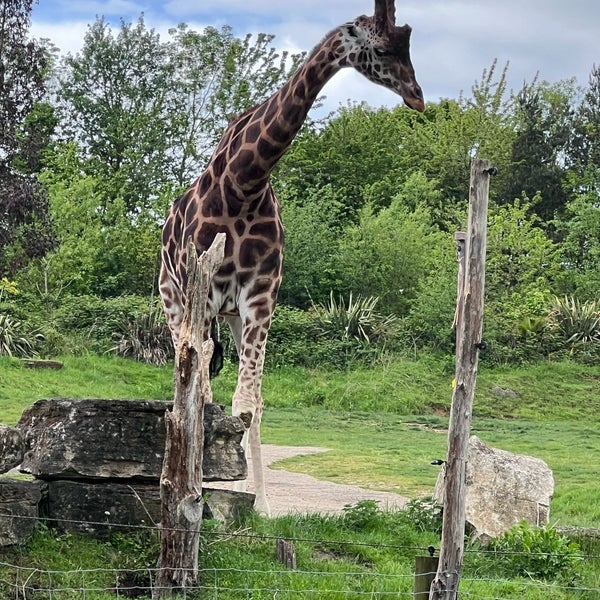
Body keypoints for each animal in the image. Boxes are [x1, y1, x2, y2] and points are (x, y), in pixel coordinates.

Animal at [157, 0, 424, 516]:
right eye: (383, 49)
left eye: (407, 45)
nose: (417, 96)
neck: (244, 184)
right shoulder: (202, 292)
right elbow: (203, 393)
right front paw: (201, 489)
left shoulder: (260, 295)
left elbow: (248, 404)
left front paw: (257, 502)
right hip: (174, 301)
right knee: (192, 378)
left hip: (231, 316)